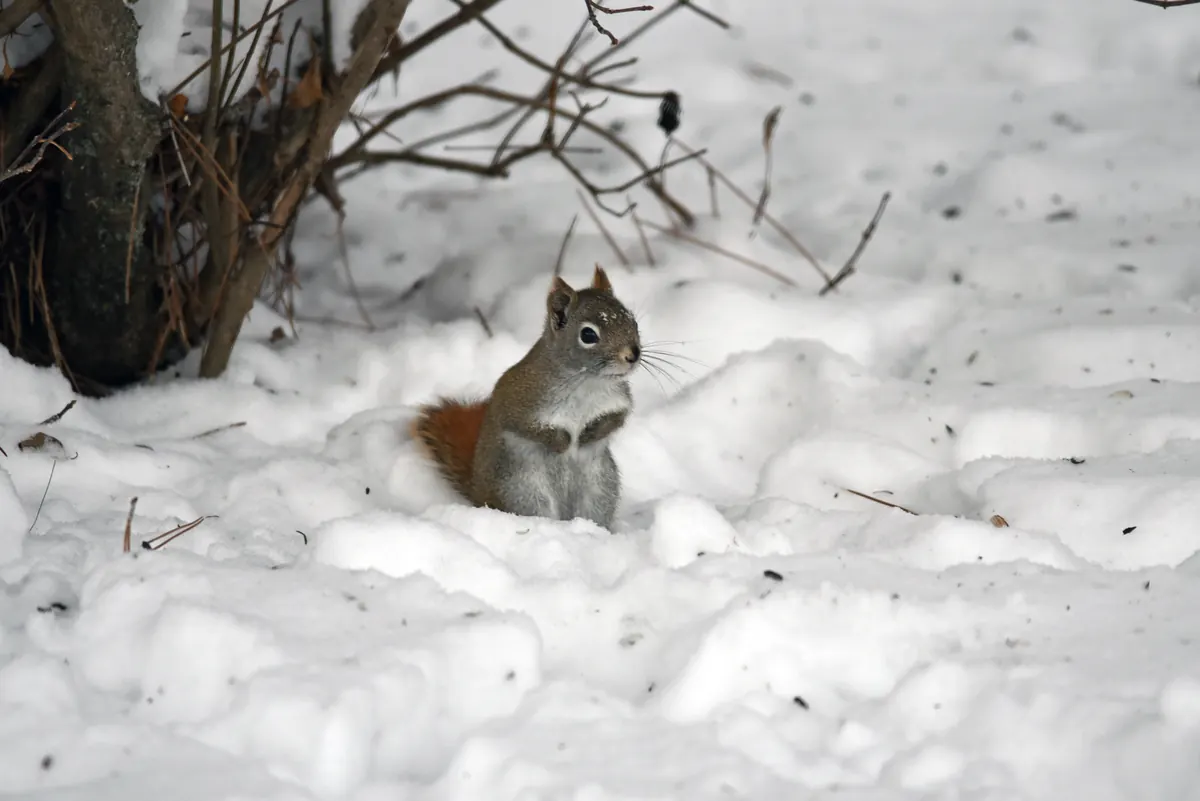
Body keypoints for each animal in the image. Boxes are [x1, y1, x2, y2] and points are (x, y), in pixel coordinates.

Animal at [411, 265, 642, 530]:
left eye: (632, 320)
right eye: (588, 335)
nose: (633, 354)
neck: (587, 382)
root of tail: (482, 494)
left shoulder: (619, 399)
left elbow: (617, 417)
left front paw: (589, 434)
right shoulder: (518, 402)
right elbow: (527, 428)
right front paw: (564, 443)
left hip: (600, 489)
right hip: (524, 492)